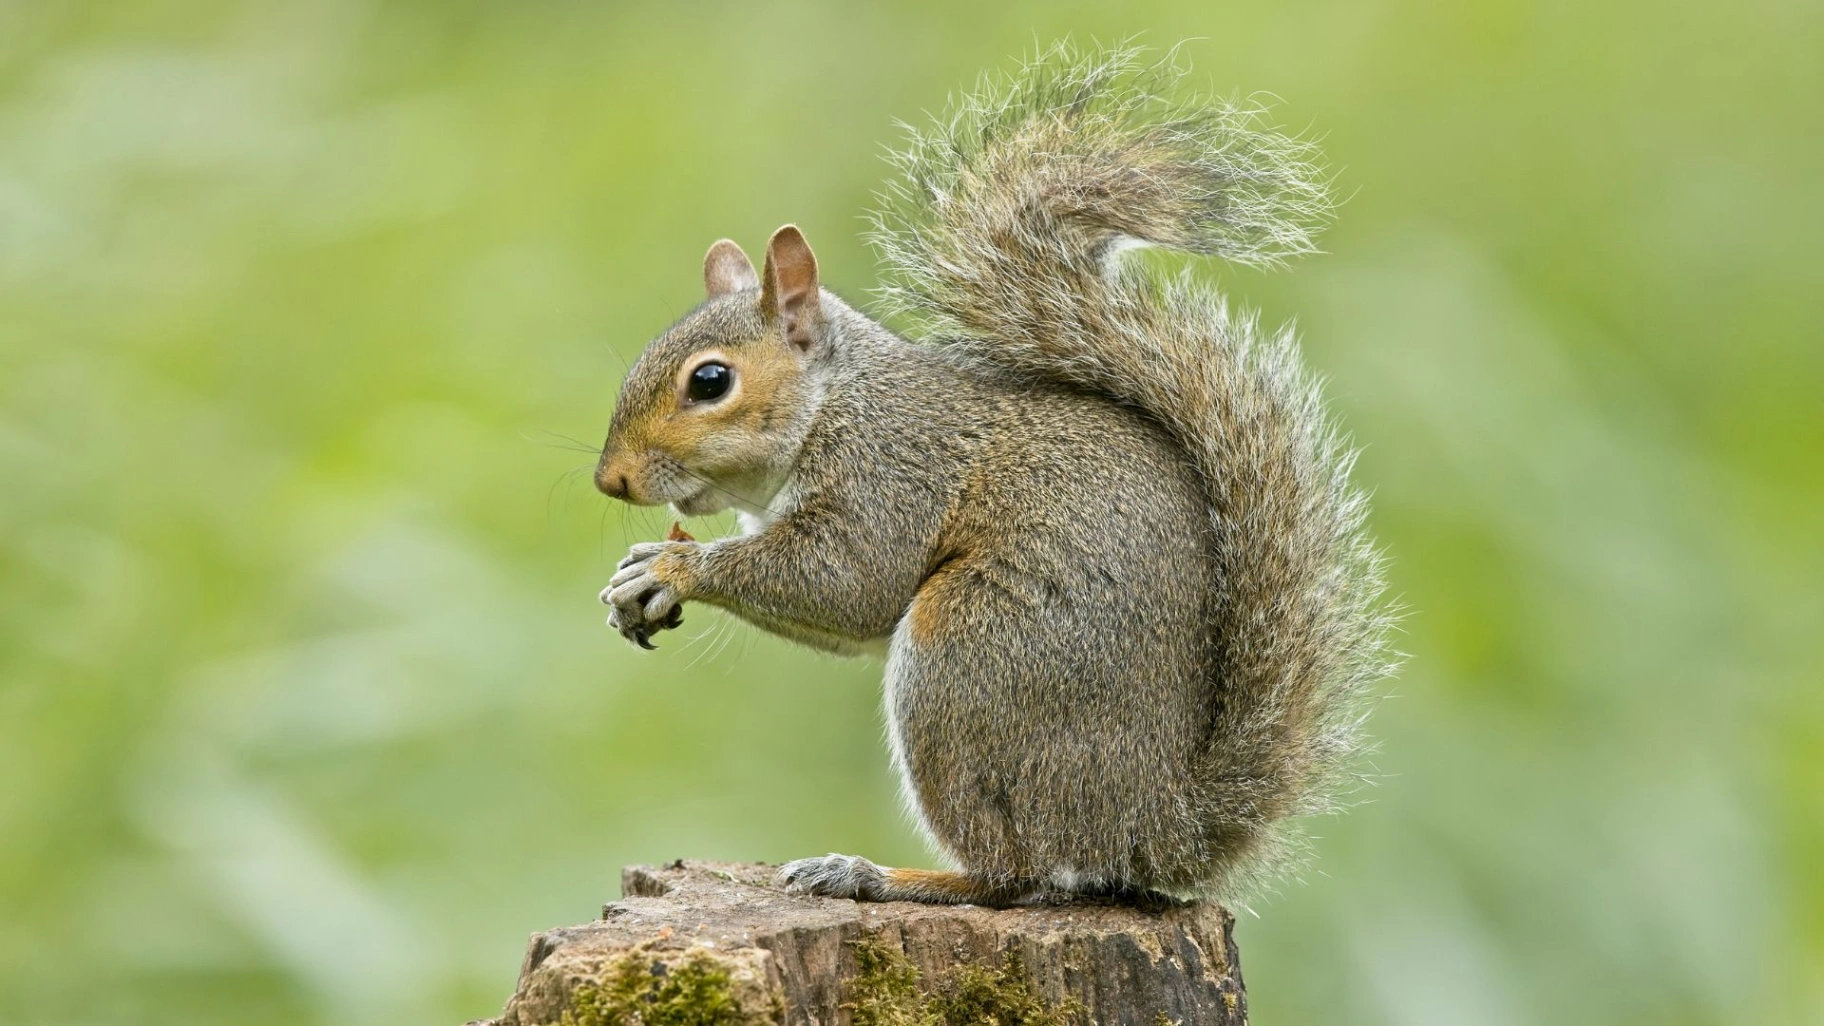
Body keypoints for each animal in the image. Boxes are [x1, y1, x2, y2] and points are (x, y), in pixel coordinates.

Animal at [593, 45, 1394, 906]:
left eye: (711, 382)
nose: (611, 481)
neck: (835, 403)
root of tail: (1156, 830)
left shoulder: (892, 473)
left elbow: (849, 581)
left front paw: (674, 567)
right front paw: (641, 576)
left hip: (968, 660)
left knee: (1012, 872)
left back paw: (878, 874)